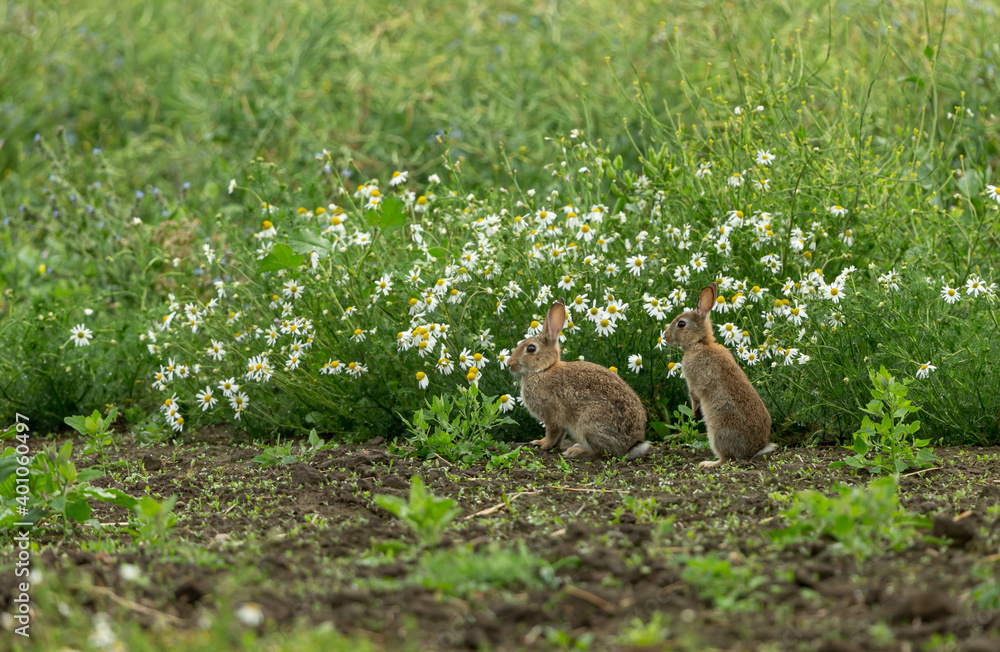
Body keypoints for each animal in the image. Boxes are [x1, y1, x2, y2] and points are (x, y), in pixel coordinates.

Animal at [507, 299, 650, 460]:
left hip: (587, 425)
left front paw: (542, 444)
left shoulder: (552, 415)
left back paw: (575, 451)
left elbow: (551, 433)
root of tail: (631, 446)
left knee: (602, 453)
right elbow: (559, 436)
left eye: (531, 348)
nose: (509, 364)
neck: (544, 369)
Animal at [664, 282, 775, 468]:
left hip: (717, 432)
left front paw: (694, 413)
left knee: (727, 459)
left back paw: (707, 463)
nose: (666, 336)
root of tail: (753, 450)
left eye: (681, 323)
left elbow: (694, 395)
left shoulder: (693, 382)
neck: (700, 343)